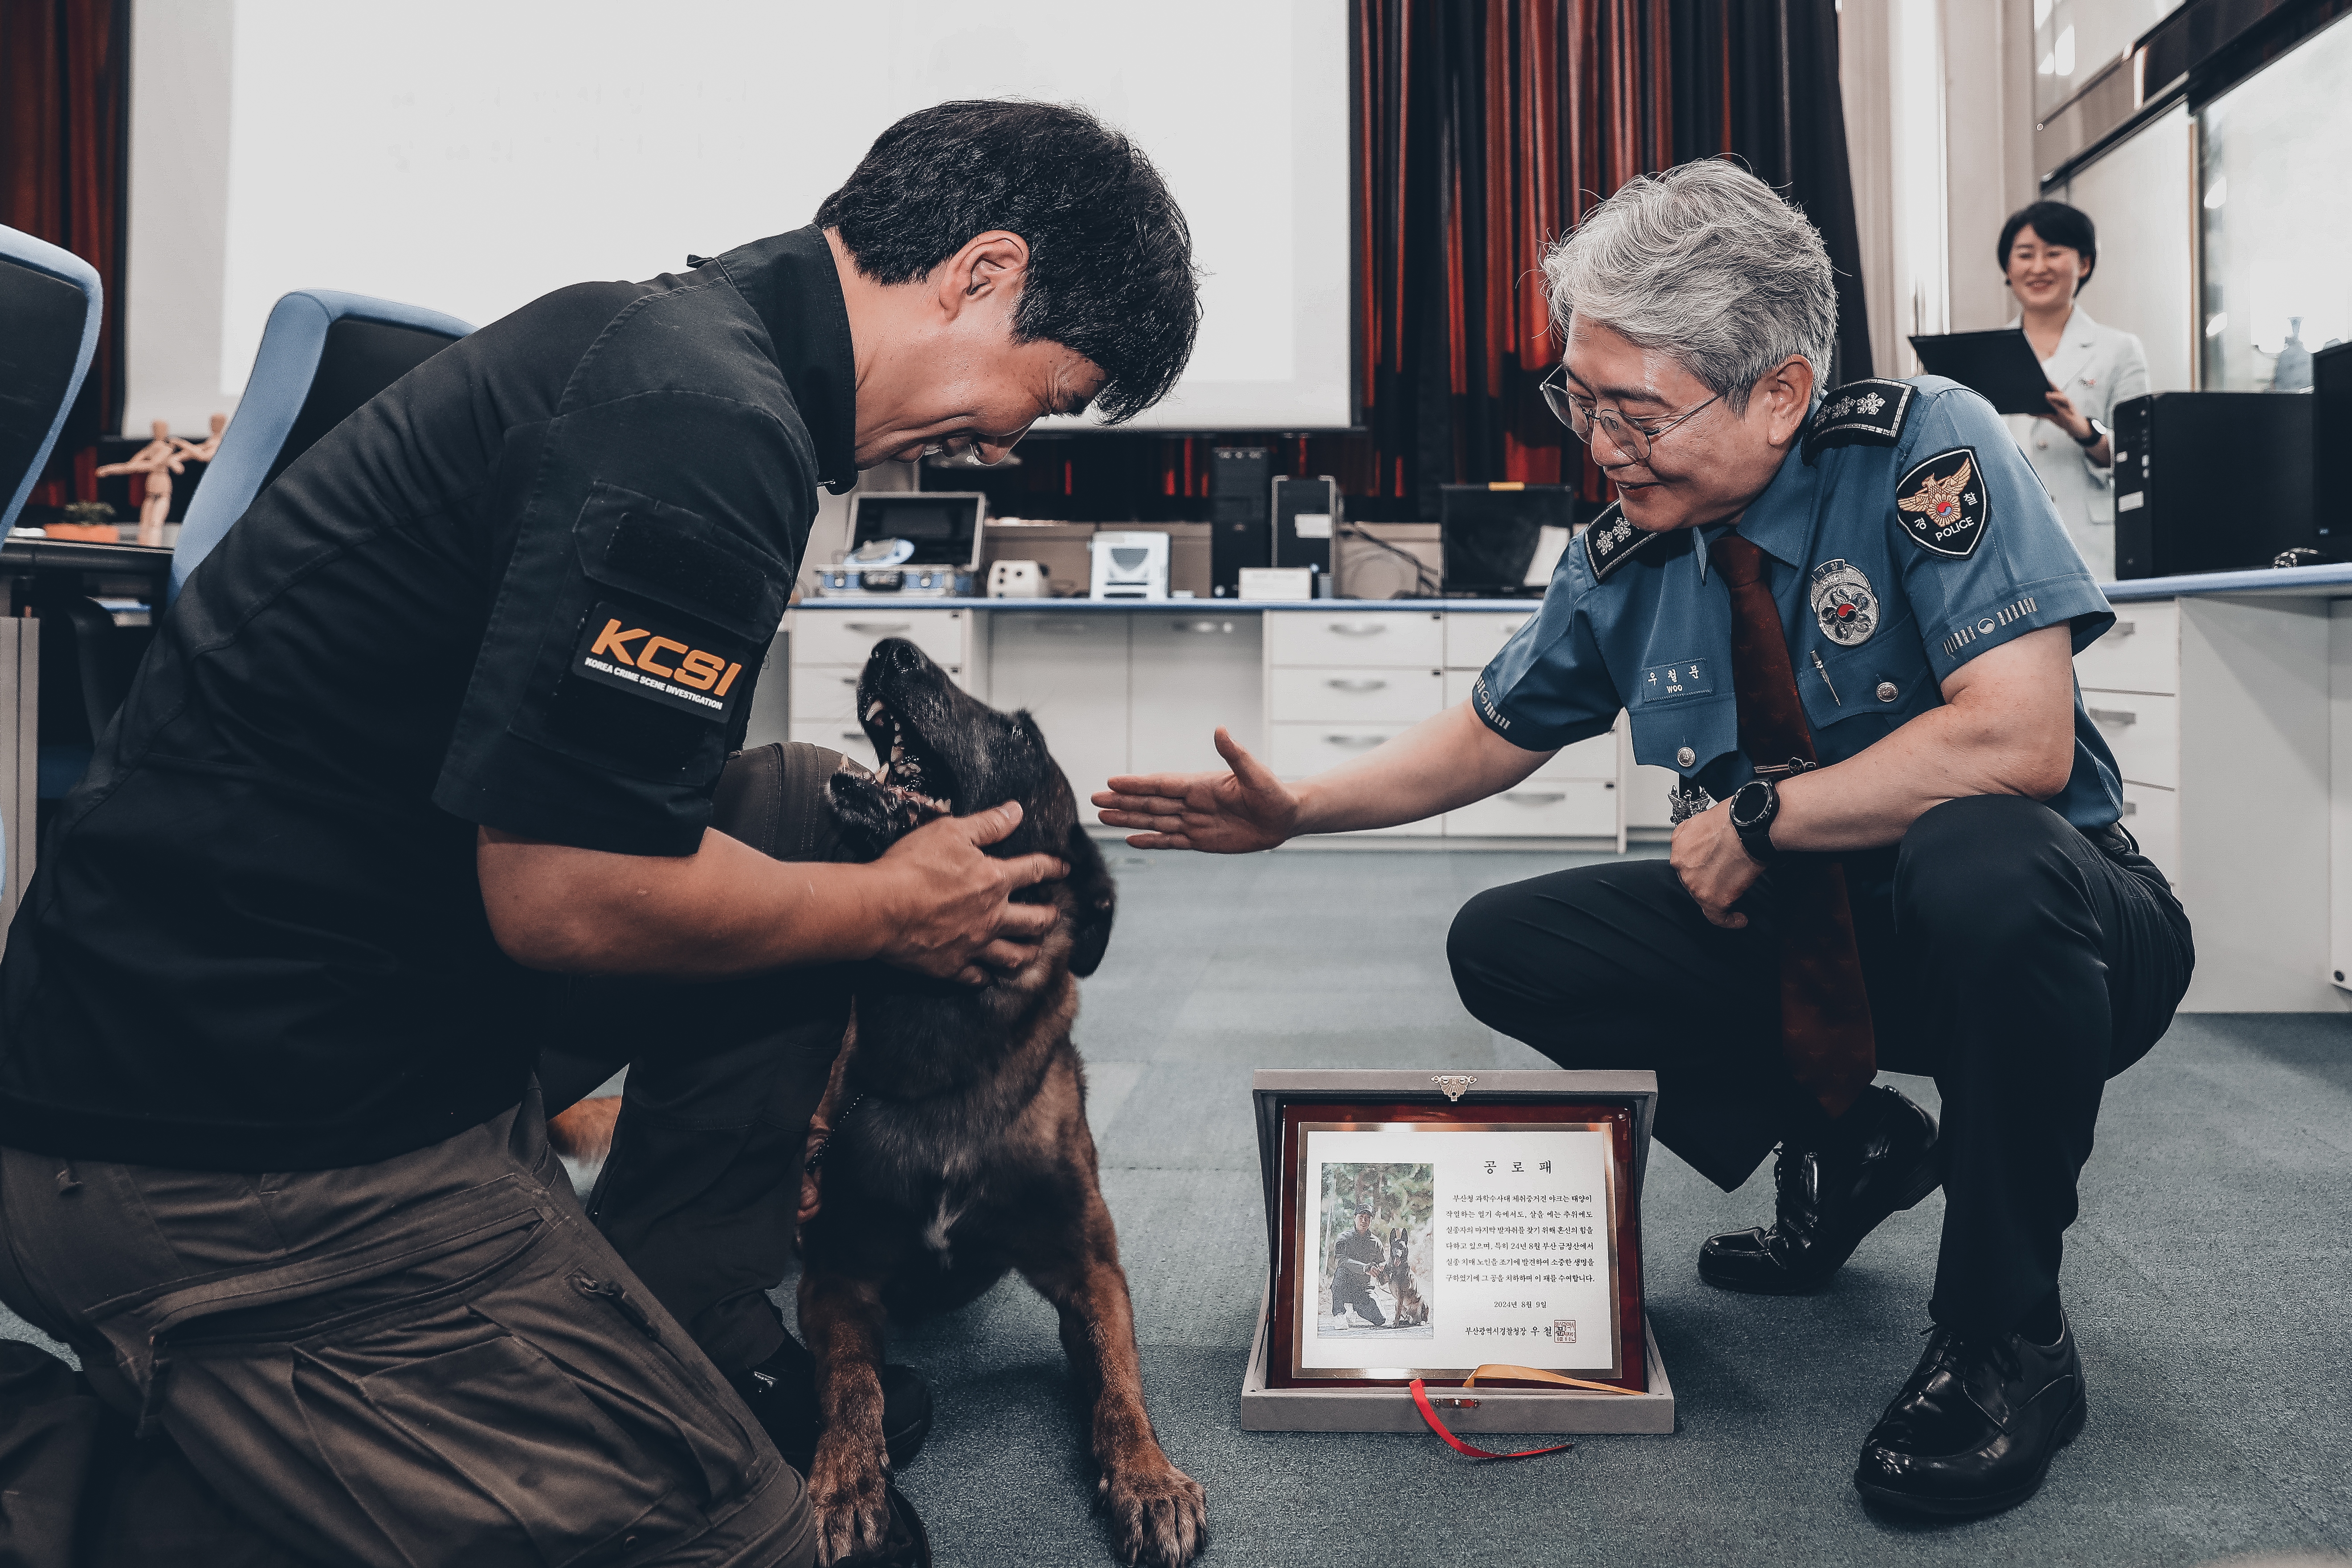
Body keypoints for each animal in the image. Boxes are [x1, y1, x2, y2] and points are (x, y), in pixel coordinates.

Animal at [804, 639, 1213, 1568]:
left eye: (1023, 735)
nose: (891, 649)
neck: (947, 1049)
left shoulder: (1090, 1272)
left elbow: (1120, 1389)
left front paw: (1149, 1480)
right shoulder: (836, 1275)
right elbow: (849, 1383)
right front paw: (846, 1480)